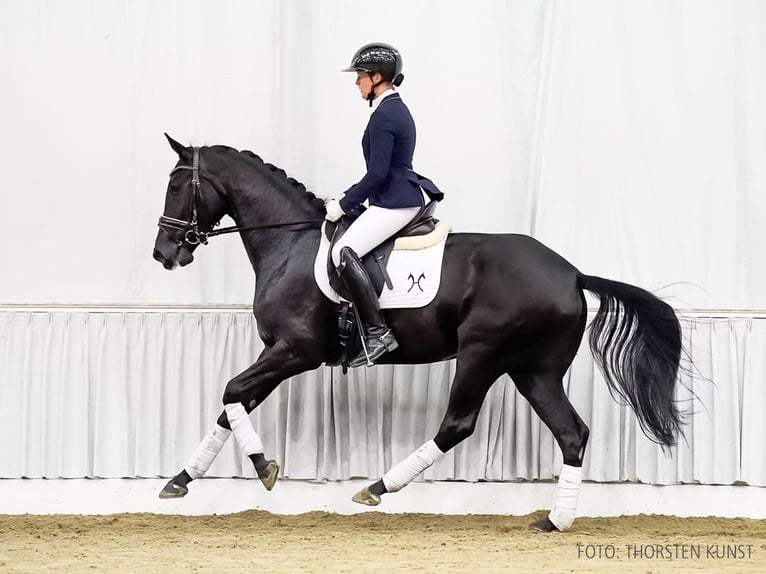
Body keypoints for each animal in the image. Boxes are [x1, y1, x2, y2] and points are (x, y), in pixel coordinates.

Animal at [154, 134, 684, 532]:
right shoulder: (277, 354)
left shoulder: (295, 351)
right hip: (534, 370)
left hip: (482, 354)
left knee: (458, 424)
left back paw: (377, 487)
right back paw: (554, 521)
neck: (291, 242)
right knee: (572, 433)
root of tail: (572, 273)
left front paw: (264, 468)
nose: (164, 254)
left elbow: (231, 391)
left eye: (176, 185)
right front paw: (181, 479)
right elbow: (232, 404)